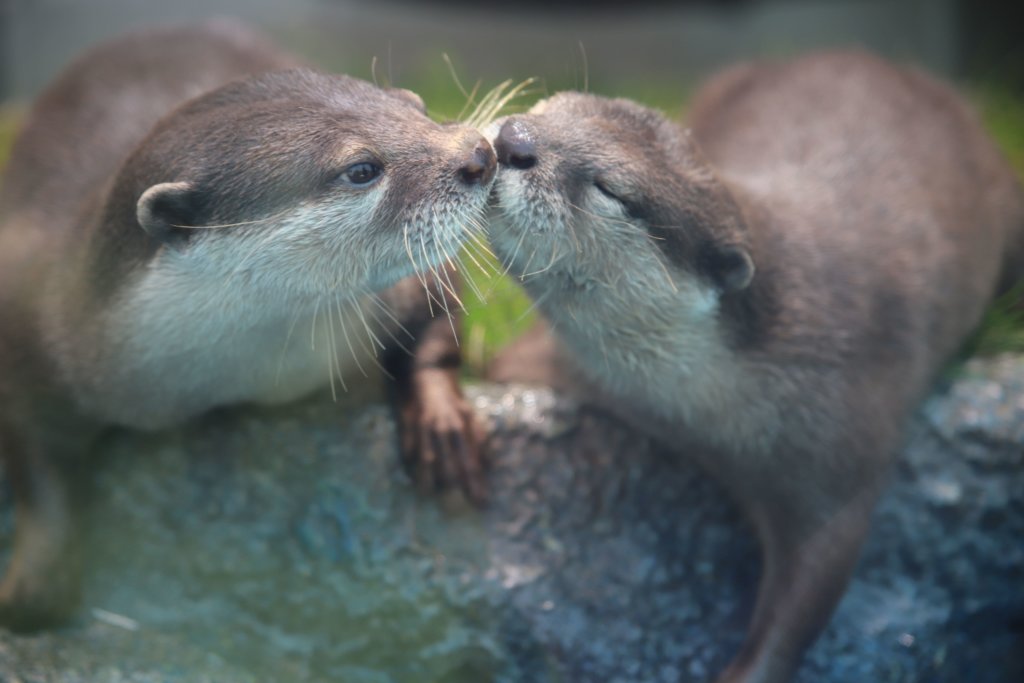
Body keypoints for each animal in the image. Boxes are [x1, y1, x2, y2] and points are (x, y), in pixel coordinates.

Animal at [0, 20, 495, 630]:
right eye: (362, 169)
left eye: (419, 109)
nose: (480, 152)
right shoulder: (36, 318)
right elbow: (32, 454)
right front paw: (35, 579)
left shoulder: (397, 289)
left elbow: (433, 313)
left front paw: (441, 425)